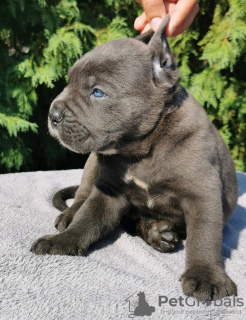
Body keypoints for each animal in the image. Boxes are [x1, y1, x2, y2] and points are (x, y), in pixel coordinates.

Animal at [30, 16, 238, 302]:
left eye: (97, 92)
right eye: (68, 82)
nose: (53, 115)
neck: (143, 149)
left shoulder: (202, 194)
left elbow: (204, 237)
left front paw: (206, 275)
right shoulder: (109, 190)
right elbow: (88, 219)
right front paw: (61, 243)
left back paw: (156, 232)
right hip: (92, 163)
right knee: (82, 196)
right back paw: (75, 215)